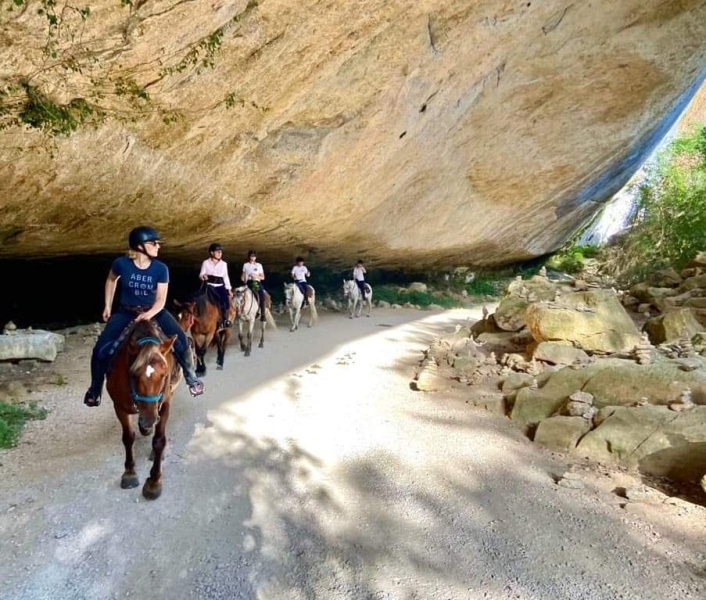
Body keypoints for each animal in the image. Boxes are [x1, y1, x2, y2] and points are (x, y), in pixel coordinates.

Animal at [106, 322, 180, 500]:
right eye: (133, 374)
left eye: (164, 374)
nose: (148, 420)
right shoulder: (119, 406)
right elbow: (128, 437)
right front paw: (129, 473)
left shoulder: (165, 404)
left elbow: (159, 440)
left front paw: (154, 482)